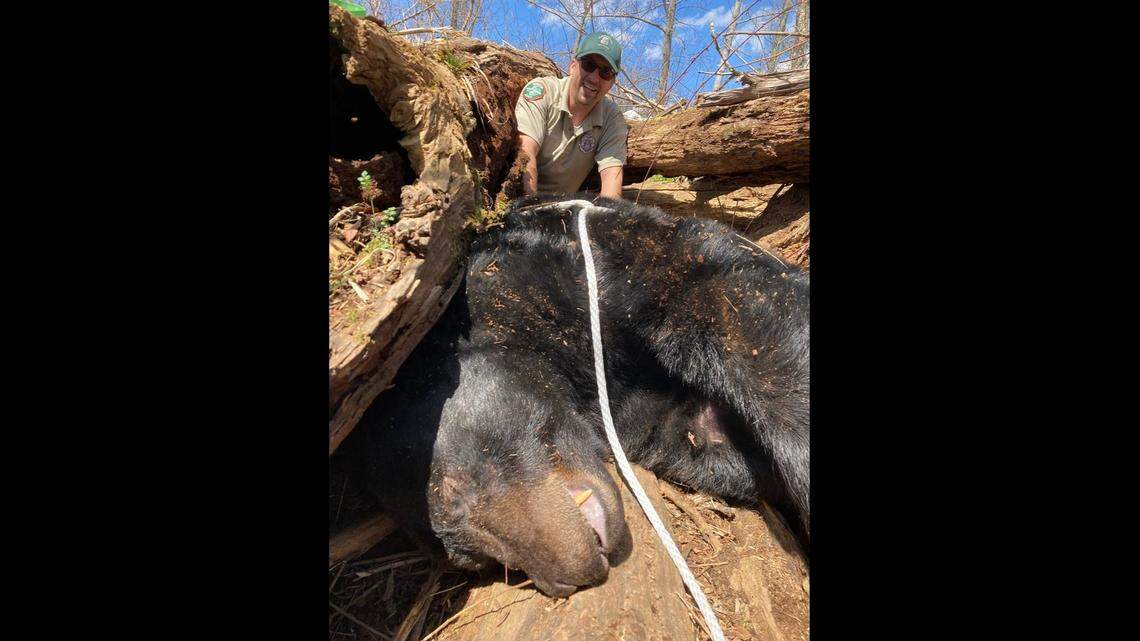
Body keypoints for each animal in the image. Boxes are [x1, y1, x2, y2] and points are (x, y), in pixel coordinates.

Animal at [361, 194, 809, 597]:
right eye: (475, 561)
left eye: (457, 491)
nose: (567, 580)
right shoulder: (643, 415)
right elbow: (699, 438)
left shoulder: (597, 264)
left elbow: (737, 306)